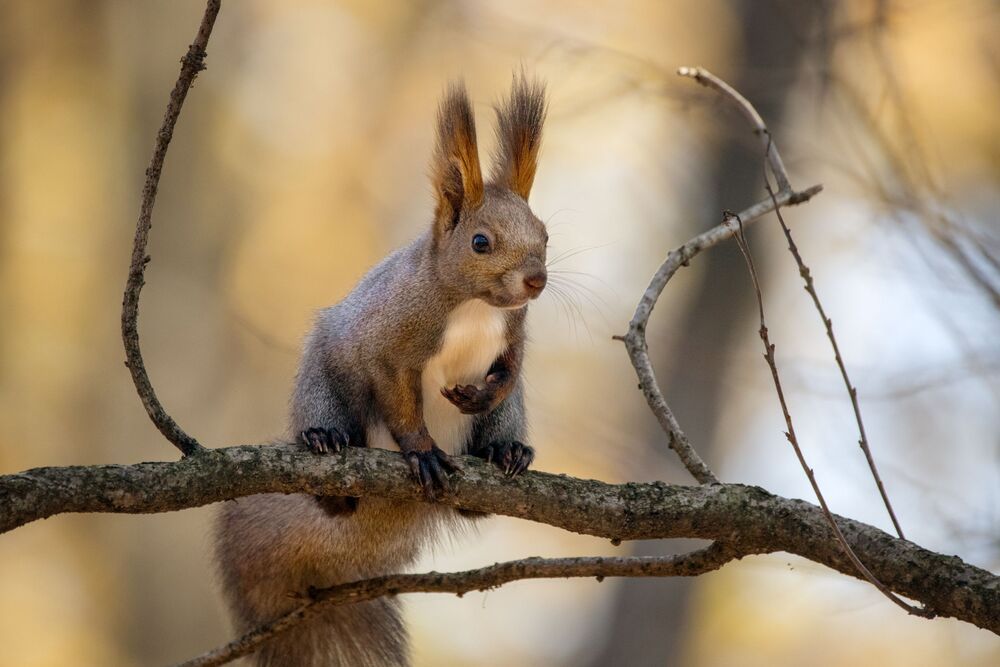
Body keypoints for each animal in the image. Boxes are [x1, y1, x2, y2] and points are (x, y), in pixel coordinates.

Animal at [214, 74, 548, 667]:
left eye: (546, 234)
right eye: (480, 242)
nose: (537, 281)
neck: (474, 308)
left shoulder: (514, 332)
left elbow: (510, 369)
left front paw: (484, 397)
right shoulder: (388, 341)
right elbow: (397, 394)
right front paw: (421, 450)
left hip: (508, 417)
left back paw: (506, 451)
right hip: (321, 377)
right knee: (332, 476)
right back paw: (327, 442)